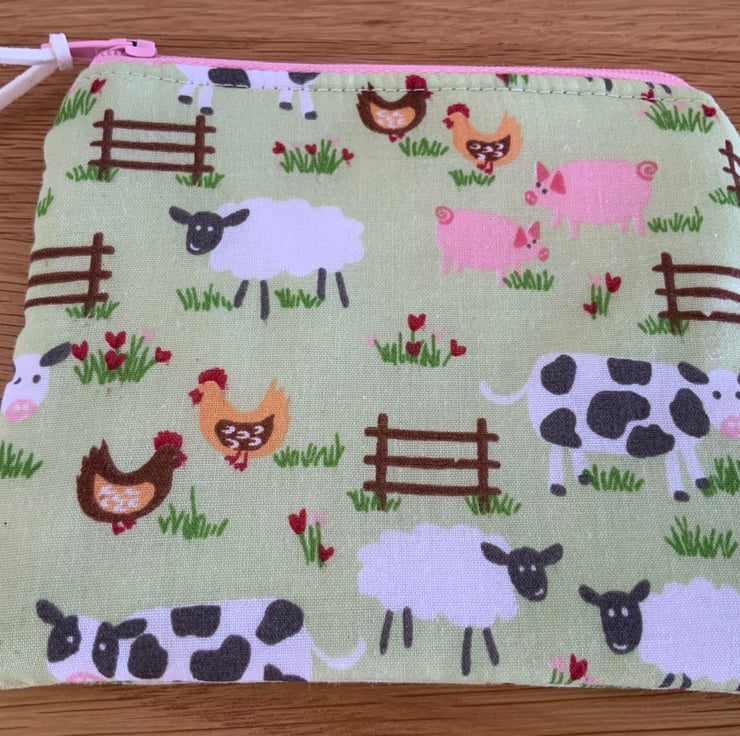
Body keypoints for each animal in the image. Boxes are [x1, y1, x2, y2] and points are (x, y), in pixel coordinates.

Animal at [169, 198, 365, 320]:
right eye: (192, 226)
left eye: (211, 229)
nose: (193, 247)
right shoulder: (247, 265)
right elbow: (245, 283)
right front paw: (237, 302)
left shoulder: (262, 265)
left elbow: (263, 287)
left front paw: (263, 312)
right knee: (323, 272)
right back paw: (320, 296)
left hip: (335, 256)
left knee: (338, 275)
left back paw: (343, 300)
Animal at [357, 524, 564, 675]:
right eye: (519, 569)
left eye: (539, 566)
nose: (538, 592)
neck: (497, 573)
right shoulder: (470, 609)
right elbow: (469, 634)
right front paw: (466, 665)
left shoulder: (483, 610)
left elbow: (487, 632)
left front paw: (493, 658)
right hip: (393, 592)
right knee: (390, 613)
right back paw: (385, 644)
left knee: (405, 611)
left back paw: (407, 640)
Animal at [480, 353, 740, 501]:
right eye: (716, 394)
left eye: (738, 393)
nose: (732, 424)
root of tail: (538, 368)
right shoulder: (670, 436)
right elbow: (675, 464)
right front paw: (681, 493)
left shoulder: (683, 440)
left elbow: (690, 458)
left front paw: (702, 482)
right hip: (555, 418)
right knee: (557, 450)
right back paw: (558, 486)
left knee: (572, 446)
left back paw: (583, 477)